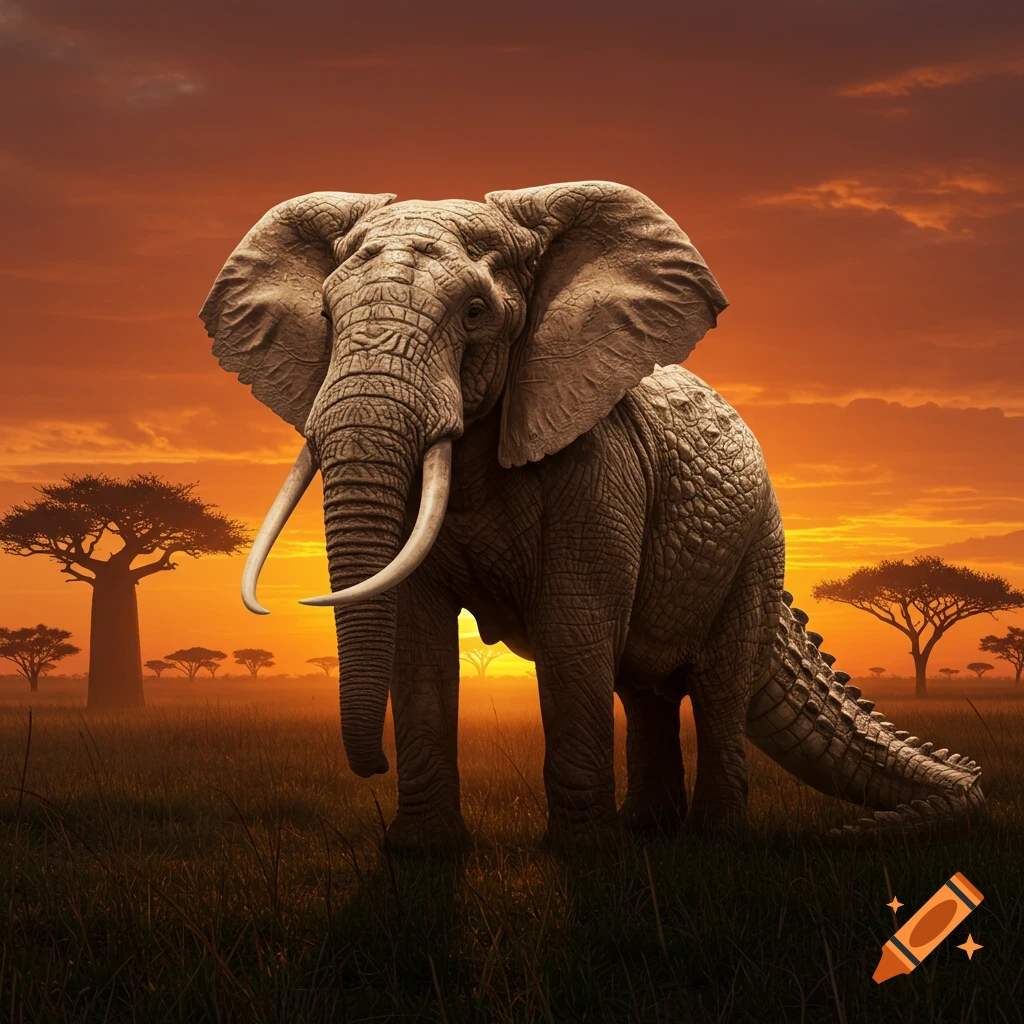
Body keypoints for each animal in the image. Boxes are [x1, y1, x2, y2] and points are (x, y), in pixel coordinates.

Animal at [201, 181, 984, 849]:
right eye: (326, 318)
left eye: (476, 313)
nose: (371, 768)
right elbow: (419, 637)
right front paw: (421, 852)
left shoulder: (601, 464)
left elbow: (573, 626)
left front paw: (582, 854)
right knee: (644, 688)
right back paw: (647, 831)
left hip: (755, 548)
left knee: (719, 684)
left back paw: (712, 842)